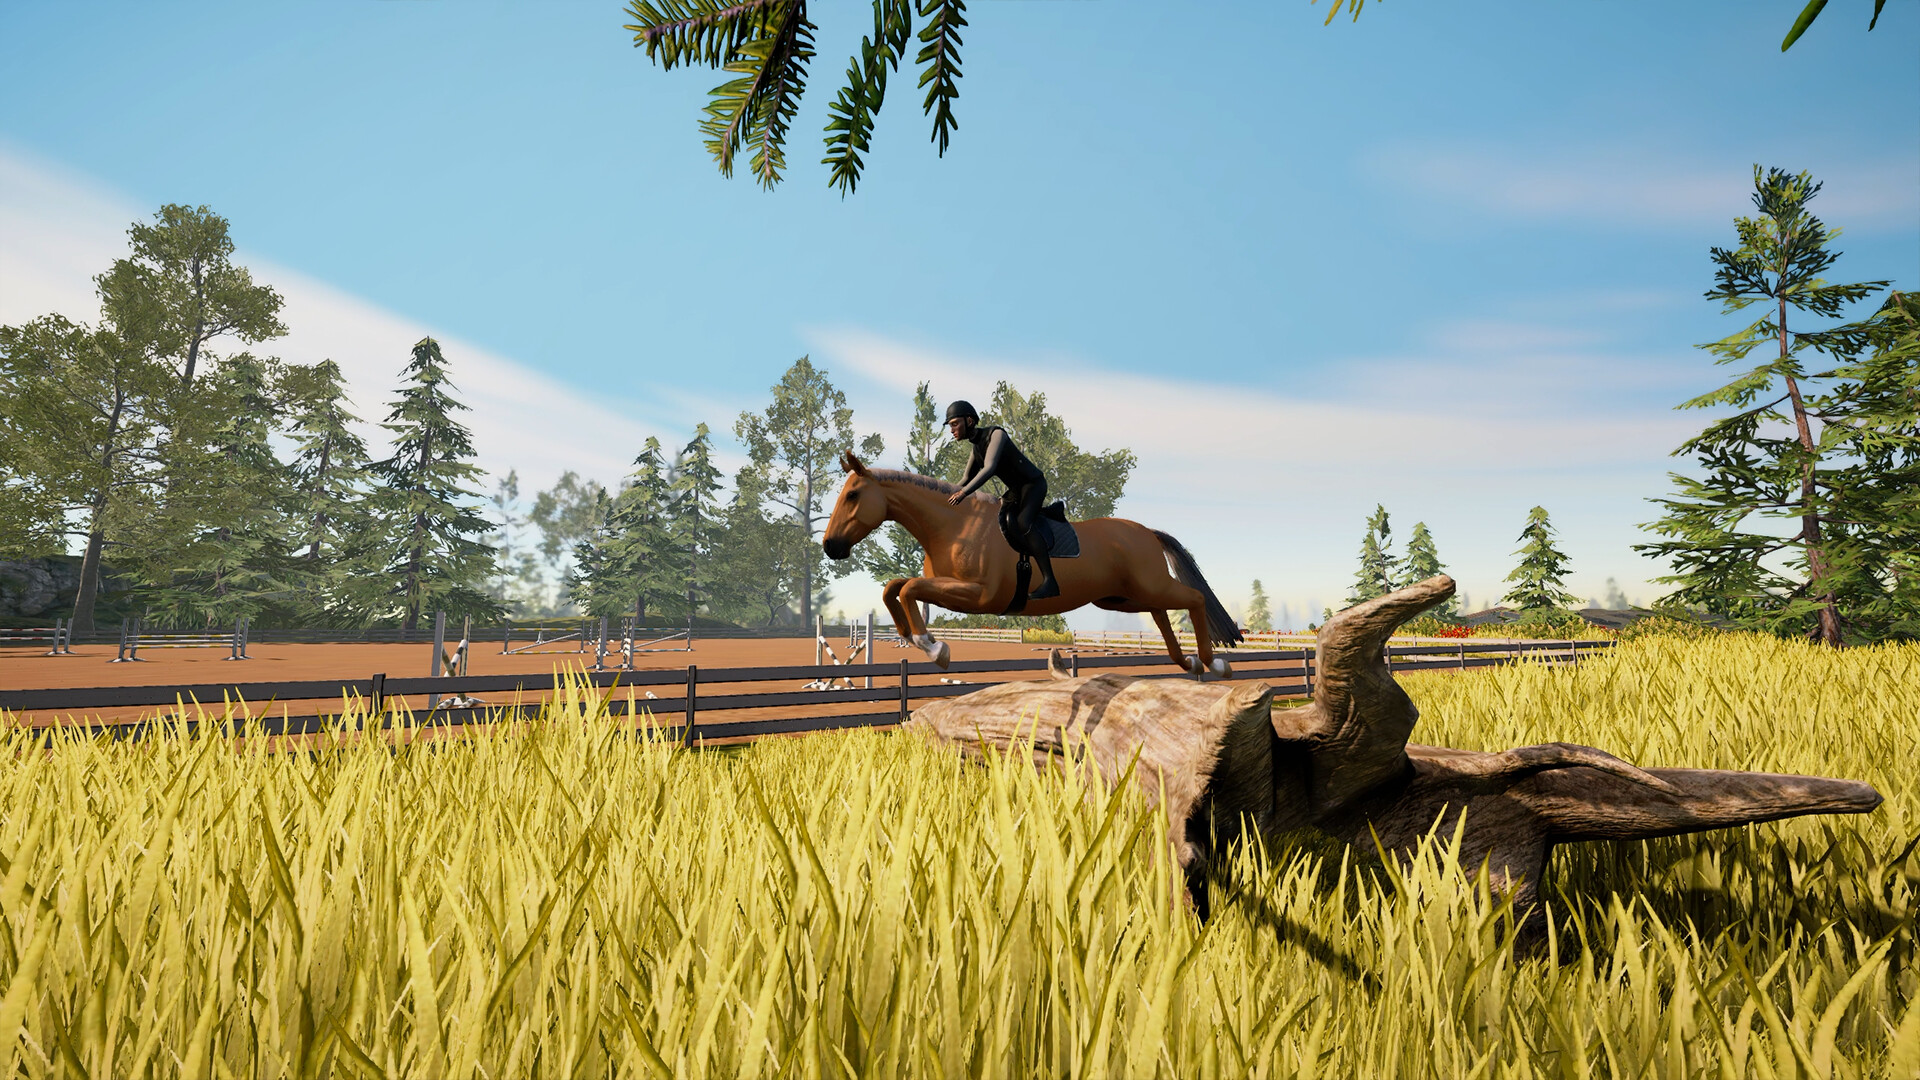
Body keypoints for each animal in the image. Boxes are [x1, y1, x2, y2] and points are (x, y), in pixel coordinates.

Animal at [814, 451, 1236, 672]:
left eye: (853, 495)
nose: (831, 546)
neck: (953, 525)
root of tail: (1147, 531)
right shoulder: (952, 587)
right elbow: (895, 588)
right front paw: (912, 636)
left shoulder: (980, 595)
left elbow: (910, 589)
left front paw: (935, 648)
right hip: (1124, 598)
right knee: (1163, 613)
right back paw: (1187, 662)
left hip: (1144, 587)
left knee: (1194, 599)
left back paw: (1213, 663)